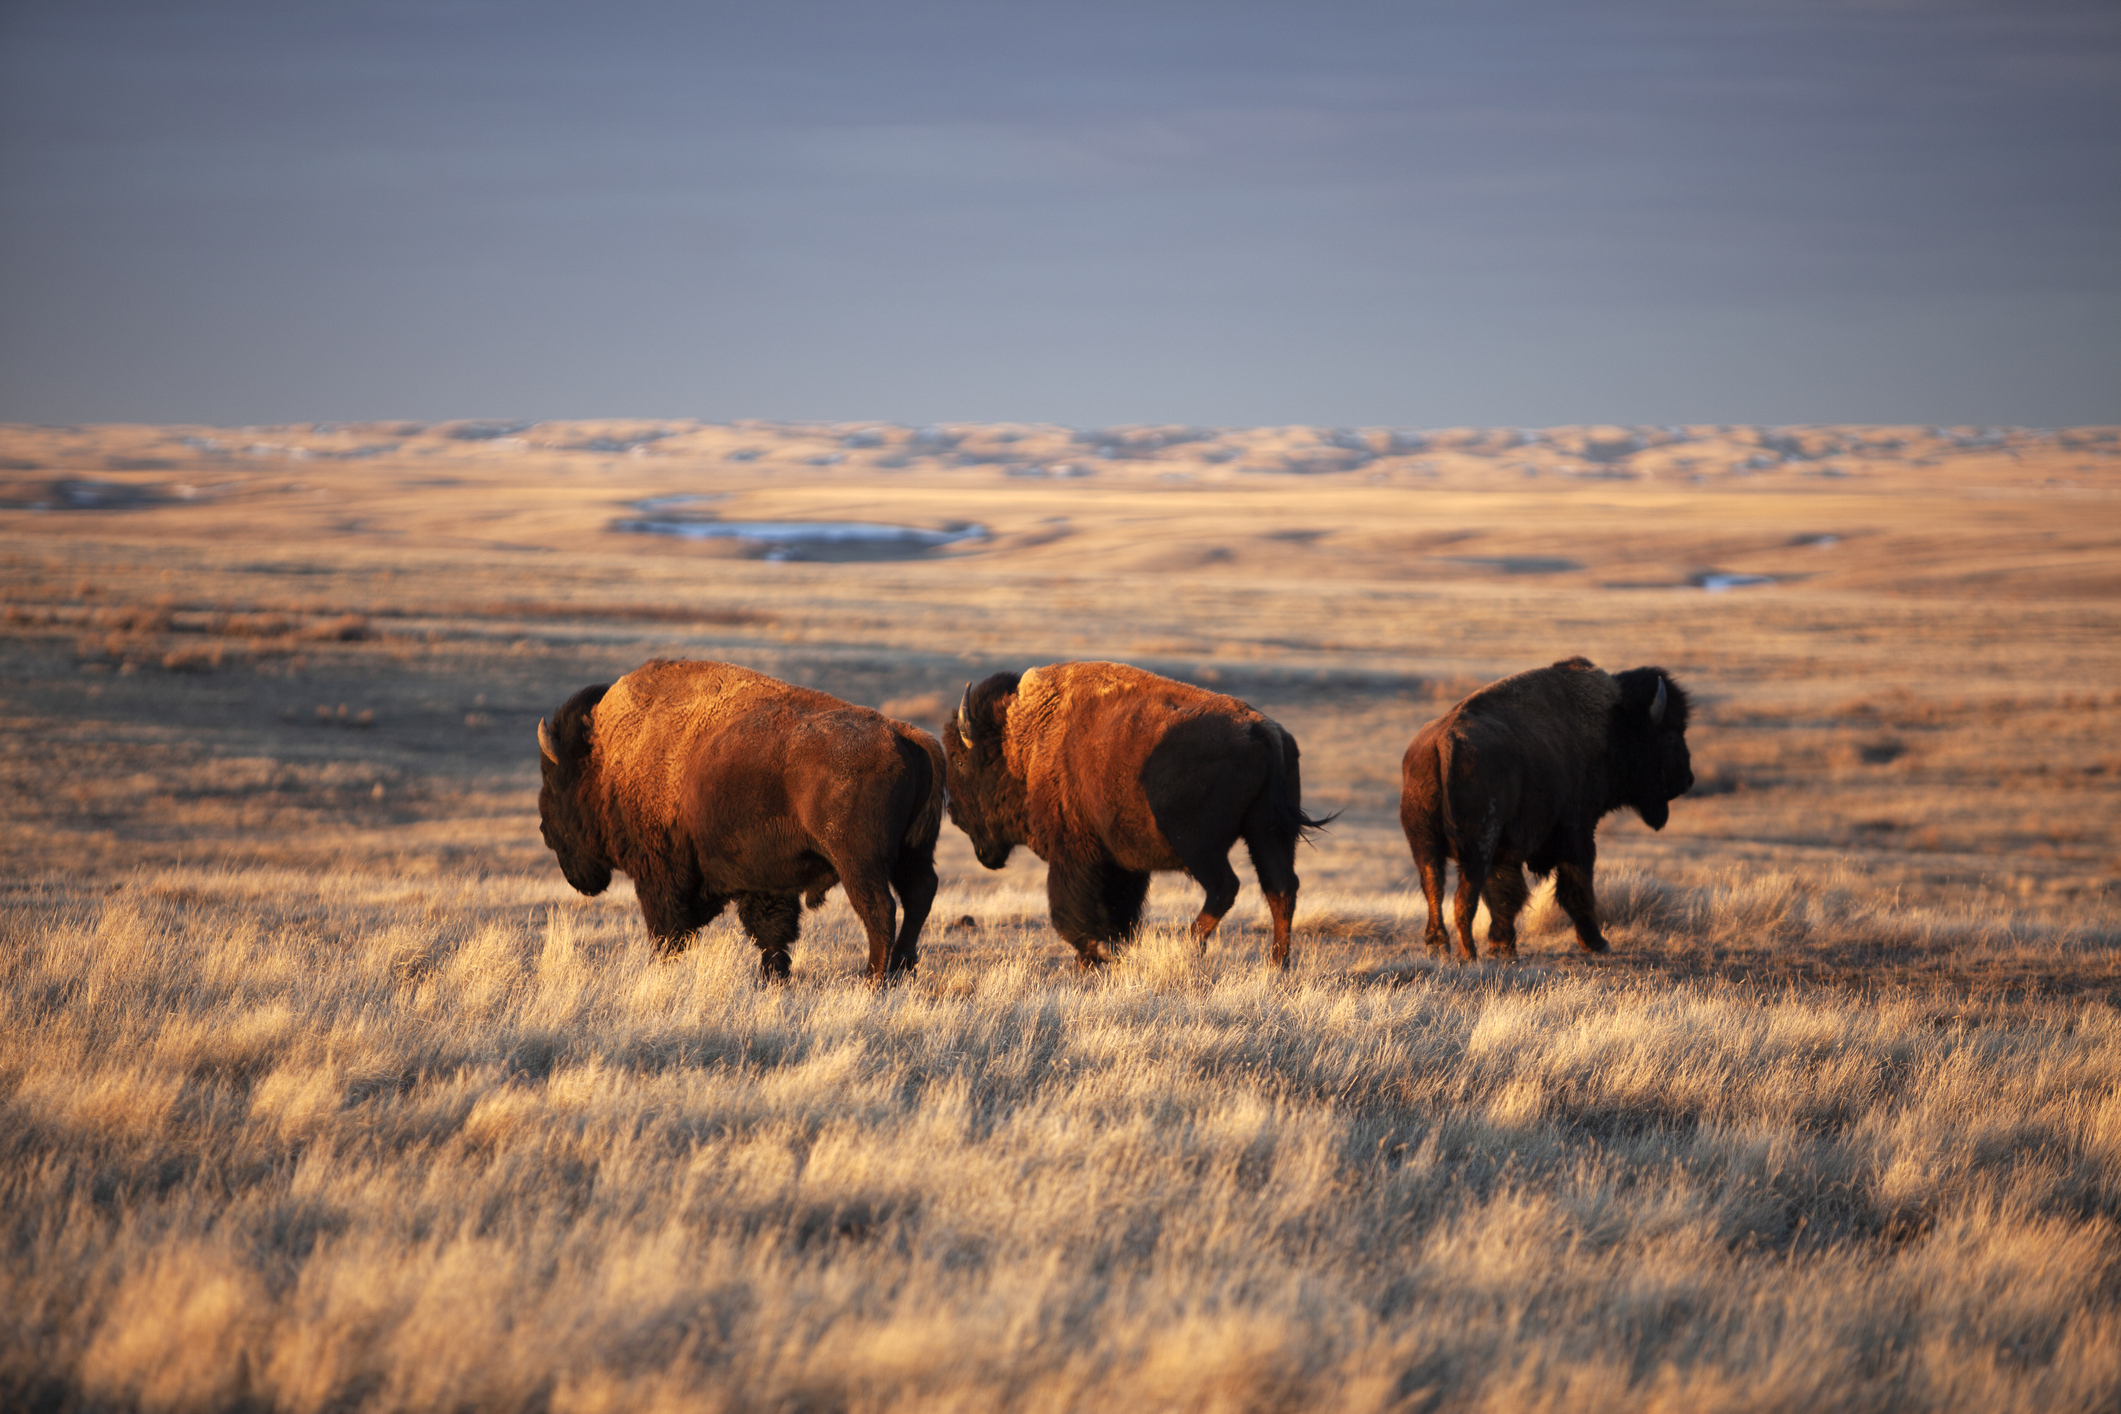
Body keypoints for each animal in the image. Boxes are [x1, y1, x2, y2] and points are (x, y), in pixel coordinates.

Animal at [537, 659, 945, 979]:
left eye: (553, 782)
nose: (544, 830)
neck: (605, 758)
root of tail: (902, 733)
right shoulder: (764, 877)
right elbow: (770, 930)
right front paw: (772, 976)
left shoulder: (660, 873)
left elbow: (668, 928)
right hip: (913, 852)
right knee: (919, 896)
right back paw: (901, 970)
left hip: (858, 861)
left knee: (880, 909)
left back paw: (872, 979)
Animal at [944, 661, 1328, 967]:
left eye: (961, 762)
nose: (952, 813)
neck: (1024, 743)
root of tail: (1264, 731)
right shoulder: (1120, 861)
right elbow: (1118, 910)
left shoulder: (1073, 852)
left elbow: (1071, 910)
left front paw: (1094, 955)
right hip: (1267, 833)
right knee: (1280, 889)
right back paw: (1277, 964)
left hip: (1199, 844)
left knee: (1226, 887)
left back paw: (1189, 945)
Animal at [1400, 656, 1693, 960]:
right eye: (1670, 734)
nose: (1687, 779)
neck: (1612, 722)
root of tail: (1444, 742)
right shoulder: (1578, 833)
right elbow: (1575, 888)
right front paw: (1596, 943)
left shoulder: (1507, 851)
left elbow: (1505, 896)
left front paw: (1503, 947)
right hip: (1477, 846)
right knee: (1465, 895)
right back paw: (1468, 954)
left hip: (1426, 846)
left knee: (1434, 887)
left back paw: (1439, 946)